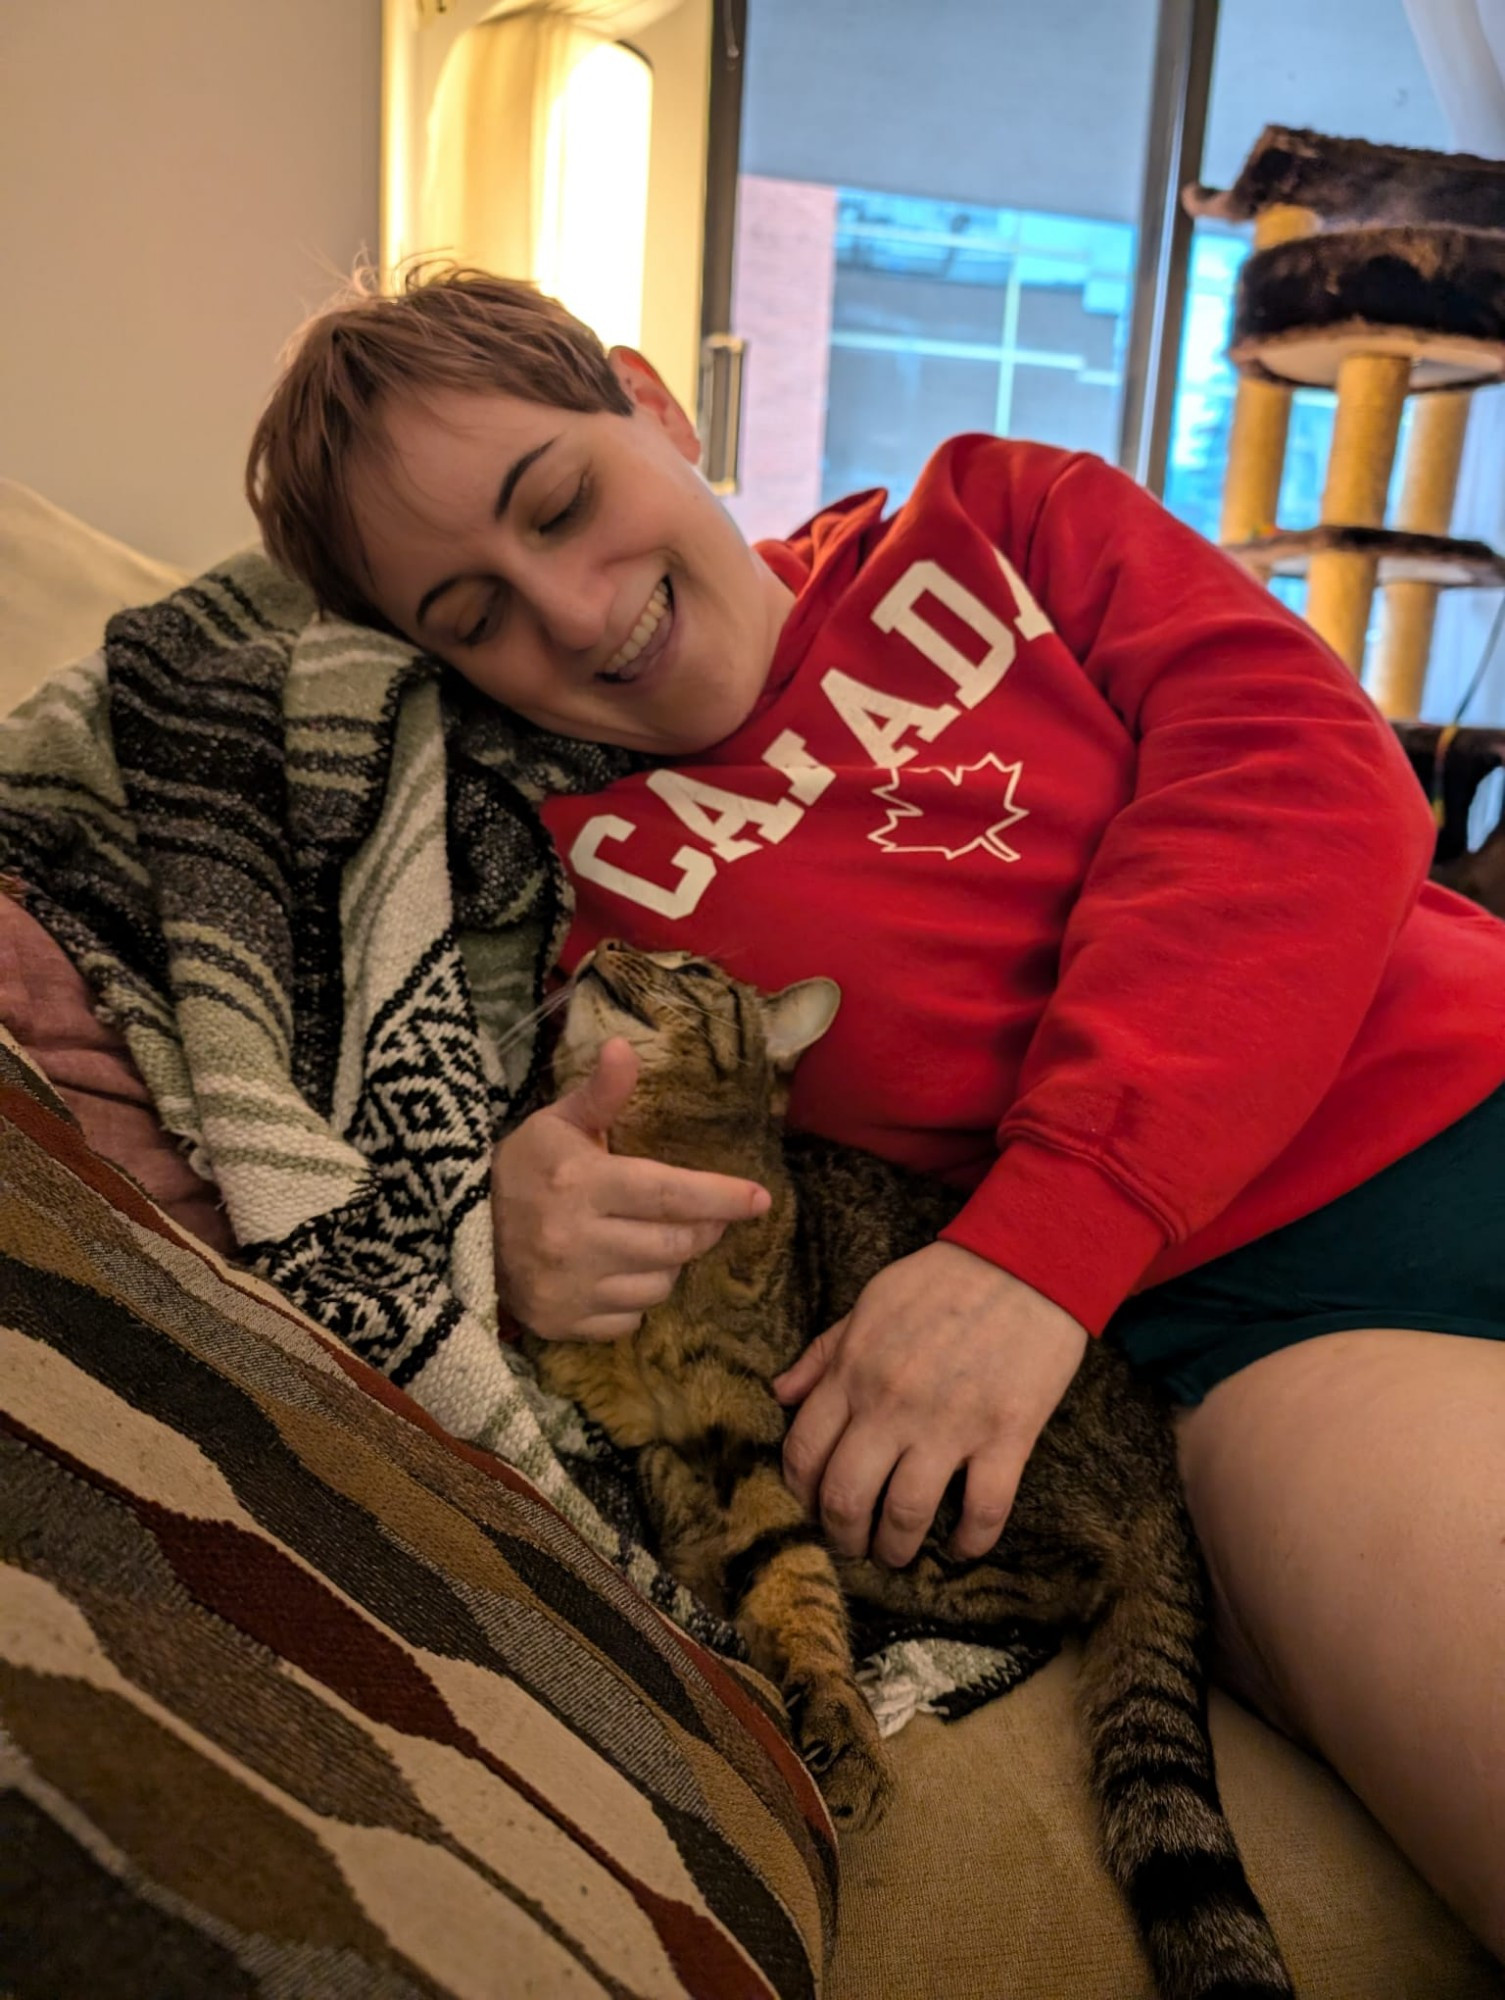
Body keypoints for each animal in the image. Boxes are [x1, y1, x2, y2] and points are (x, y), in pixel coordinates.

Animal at [528, 940, 1296, 2000]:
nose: (603, 947)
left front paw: (836, 1714)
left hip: (962, 1496)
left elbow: (792, 1578)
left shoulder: (757, 1435)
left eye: (689, 970)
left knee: (1047, 1587)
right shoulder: (630, 1420)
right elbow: (699, 1514)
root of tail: (1163, 1463)